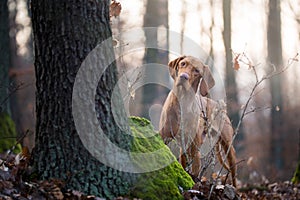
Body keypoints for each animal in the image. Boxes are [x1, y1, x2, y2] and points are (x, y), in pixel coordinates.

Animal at [159, 55, 237, 187]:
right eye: (183, 63)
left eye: (197, 71)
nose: (183, 77)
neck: (183, 101)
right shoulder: (163, 136)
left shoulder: (195, 148)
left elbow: (195, 172)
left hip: (228, 146)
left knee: (234, 174)